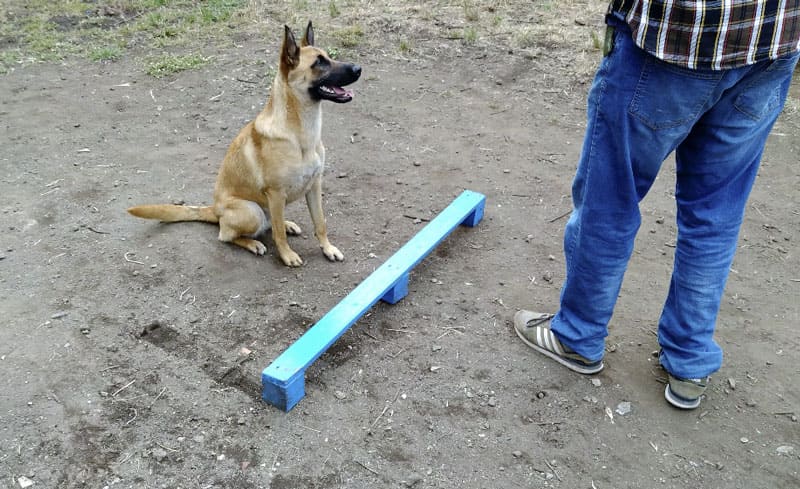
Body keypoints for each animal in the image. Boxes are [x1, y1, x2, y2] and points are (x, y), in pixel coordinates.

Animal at [127, 21, 362, 266]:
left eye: (328, 57)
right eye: (319, 63)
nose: (358, 69)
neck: (300, 134)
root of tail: (215, 210)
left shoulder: (315, 186)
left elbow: (320, 223)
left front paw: (328, 248)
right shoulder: (276, 193)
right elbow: (278, 235)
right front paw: (287, 255)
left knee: (272, 224)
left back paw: (287, 224)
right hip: (252, 210)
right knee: (229, 234)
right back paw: (253, 243)